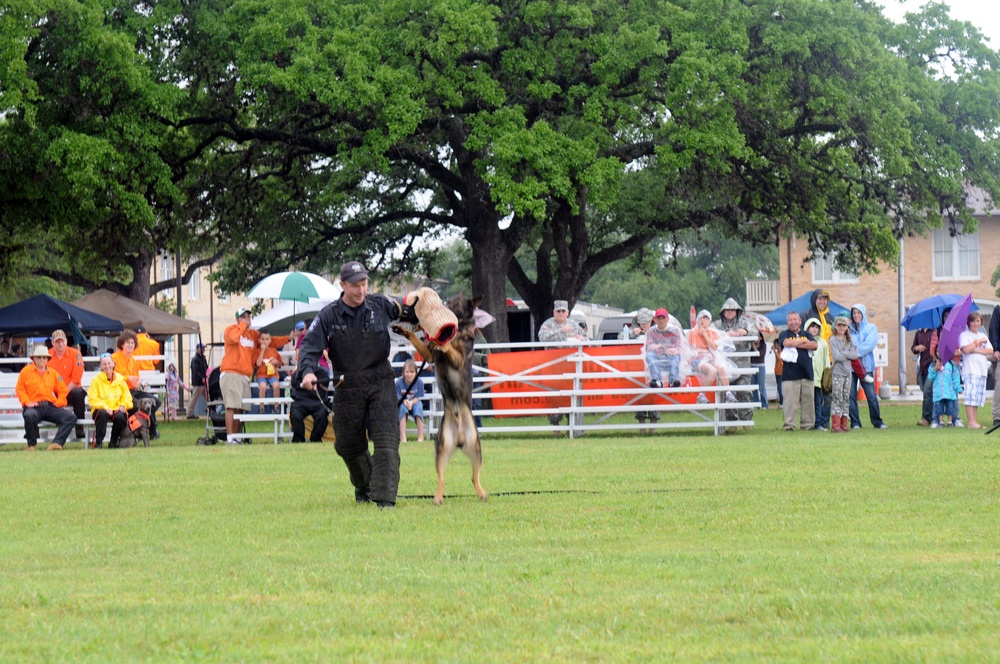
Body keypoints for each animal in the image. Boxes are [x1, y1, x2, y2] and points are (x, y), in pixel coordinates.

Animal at [390, 294, 488, 506]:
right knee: (442, 478)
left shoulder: (459, 358)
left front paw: (442, 341)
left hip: (476, 450)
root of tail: (459, 437)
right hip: (442, 450)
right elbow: (422, 343)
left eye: (456, 302)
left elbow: (449, 347)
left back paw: (482, 492)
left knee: (474, 477)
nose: (443, 303)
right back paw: (438, 497)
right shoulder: (429, 356)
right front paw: (405, 331)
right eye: (450, 300)